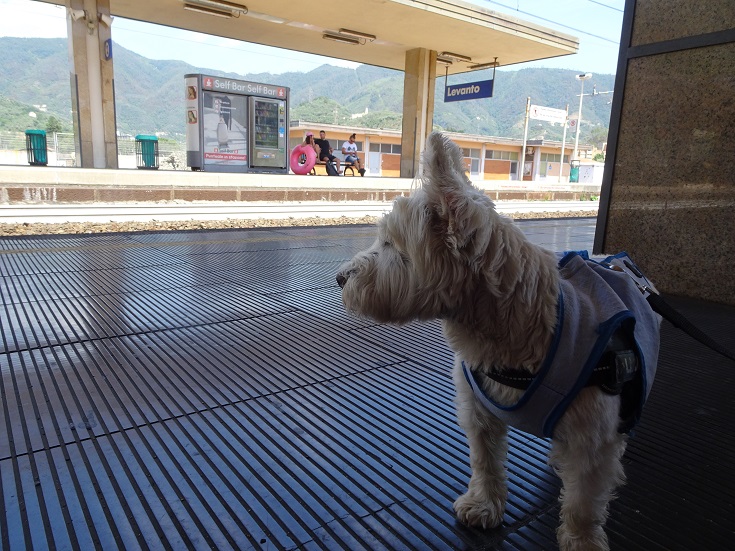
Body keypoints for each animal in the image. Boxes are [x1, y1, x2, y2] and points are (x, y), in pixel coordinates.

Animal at [334, 134, 660, 551]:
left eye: (391, 245)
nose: (340, 278)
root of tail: (616, 262)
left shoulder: (592, 434)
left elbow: (584, 499)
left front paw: (582, 539)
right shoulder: (478, 410)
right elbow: (485, 462)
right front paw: (484, 506)